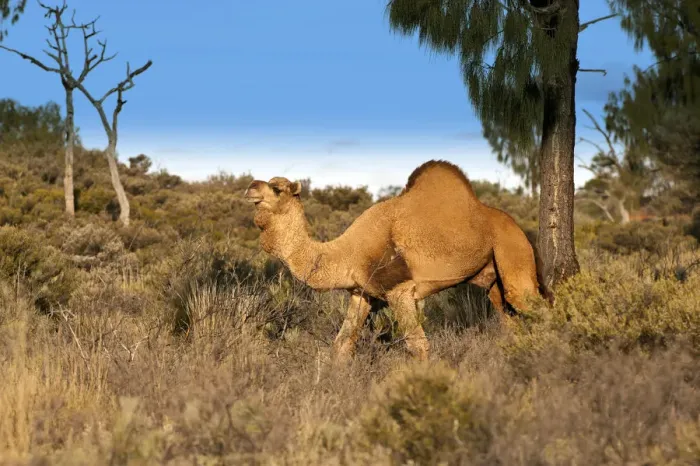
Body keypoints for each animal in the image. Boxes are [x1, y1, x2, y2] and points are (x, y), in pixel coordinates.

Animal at [244, 160, 544, 362]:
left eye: (277, 188)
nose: (250, 187)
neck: (348, 252)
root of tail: (515, 225)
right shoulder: (362, 293)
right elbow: (342, 343)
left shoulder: (400, 291)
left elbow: (417, 345)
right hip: (494, 281)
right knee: (511, 322)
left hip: (512, 251)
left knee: (535, 306)